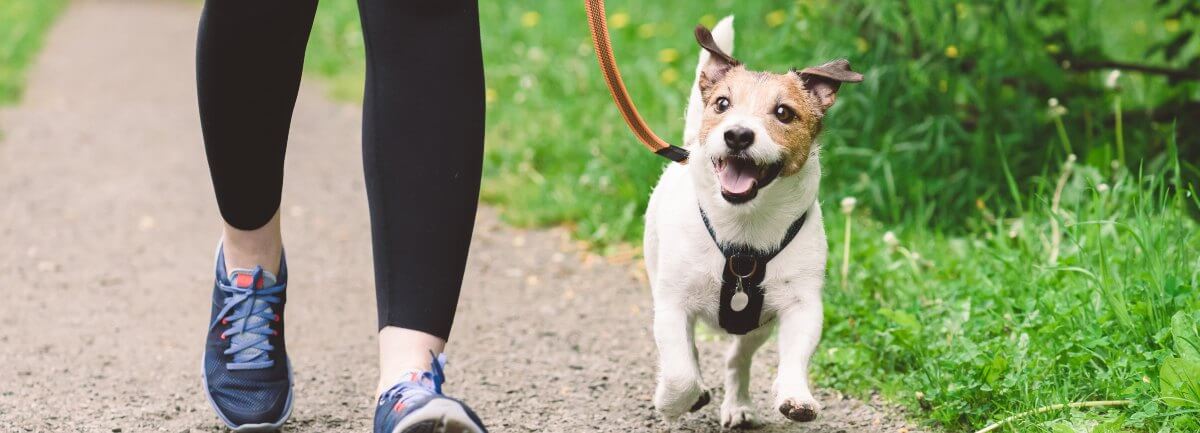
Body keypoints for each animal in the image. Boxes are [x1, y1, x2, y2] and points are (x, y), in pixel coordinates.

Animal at [648, 16, 864, 424]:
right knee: (691, 353)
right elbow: (680, 371)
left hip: (755, 326)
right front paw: (673, 401)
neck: (744, 231)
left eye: (783, 113)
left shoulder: (801, 305)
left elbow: (795, 356)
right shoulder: (672, 304)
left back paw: (738, 405)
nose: (737, 134)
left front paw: (796, 396)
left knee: (738, 359)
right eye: (722, 104)